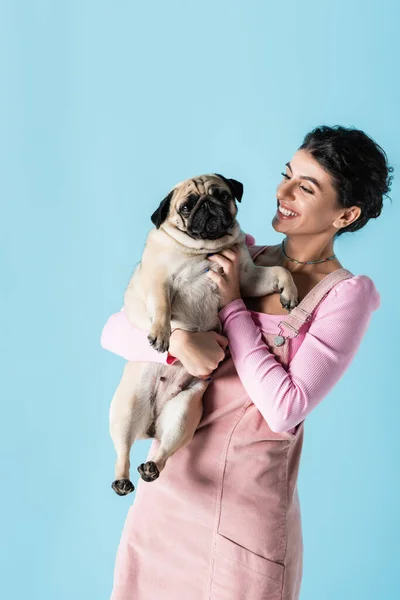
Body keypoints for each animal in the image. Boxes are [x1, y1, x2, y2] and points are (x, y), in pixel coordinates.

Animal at [108, 173, 296, 496]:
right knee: (123, 449)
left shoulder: (247, 278)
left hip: (183, 412)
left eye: (221, 195)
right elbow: (161, 304)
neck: (204, 250)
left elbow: (279, 271)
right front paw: (161, 334)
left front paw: (290, 291)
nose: (207, 206)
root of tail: (151, 425)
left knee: (166, 448)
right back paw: (121, 479)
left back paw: (152, 466)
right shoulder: (159, 279)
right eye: (186, 206)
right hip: (126, 409)